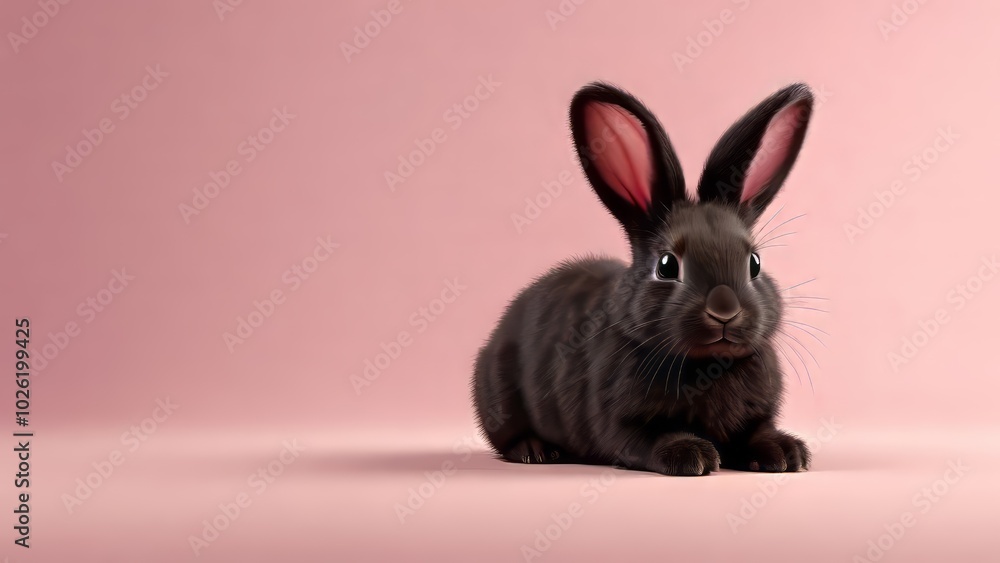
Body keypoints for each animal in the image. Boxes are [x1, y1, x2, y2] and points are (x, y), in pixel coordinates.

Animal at [472, 82, 815, 476]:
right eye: (666, 265)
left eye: (754, 263)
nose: (725, 311)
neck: (709, 365)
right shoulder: (619, 422)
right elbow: (646, 440)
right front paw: (692, 455)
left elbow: (757, 432)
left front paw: (787, 454)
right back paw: (536, 450)